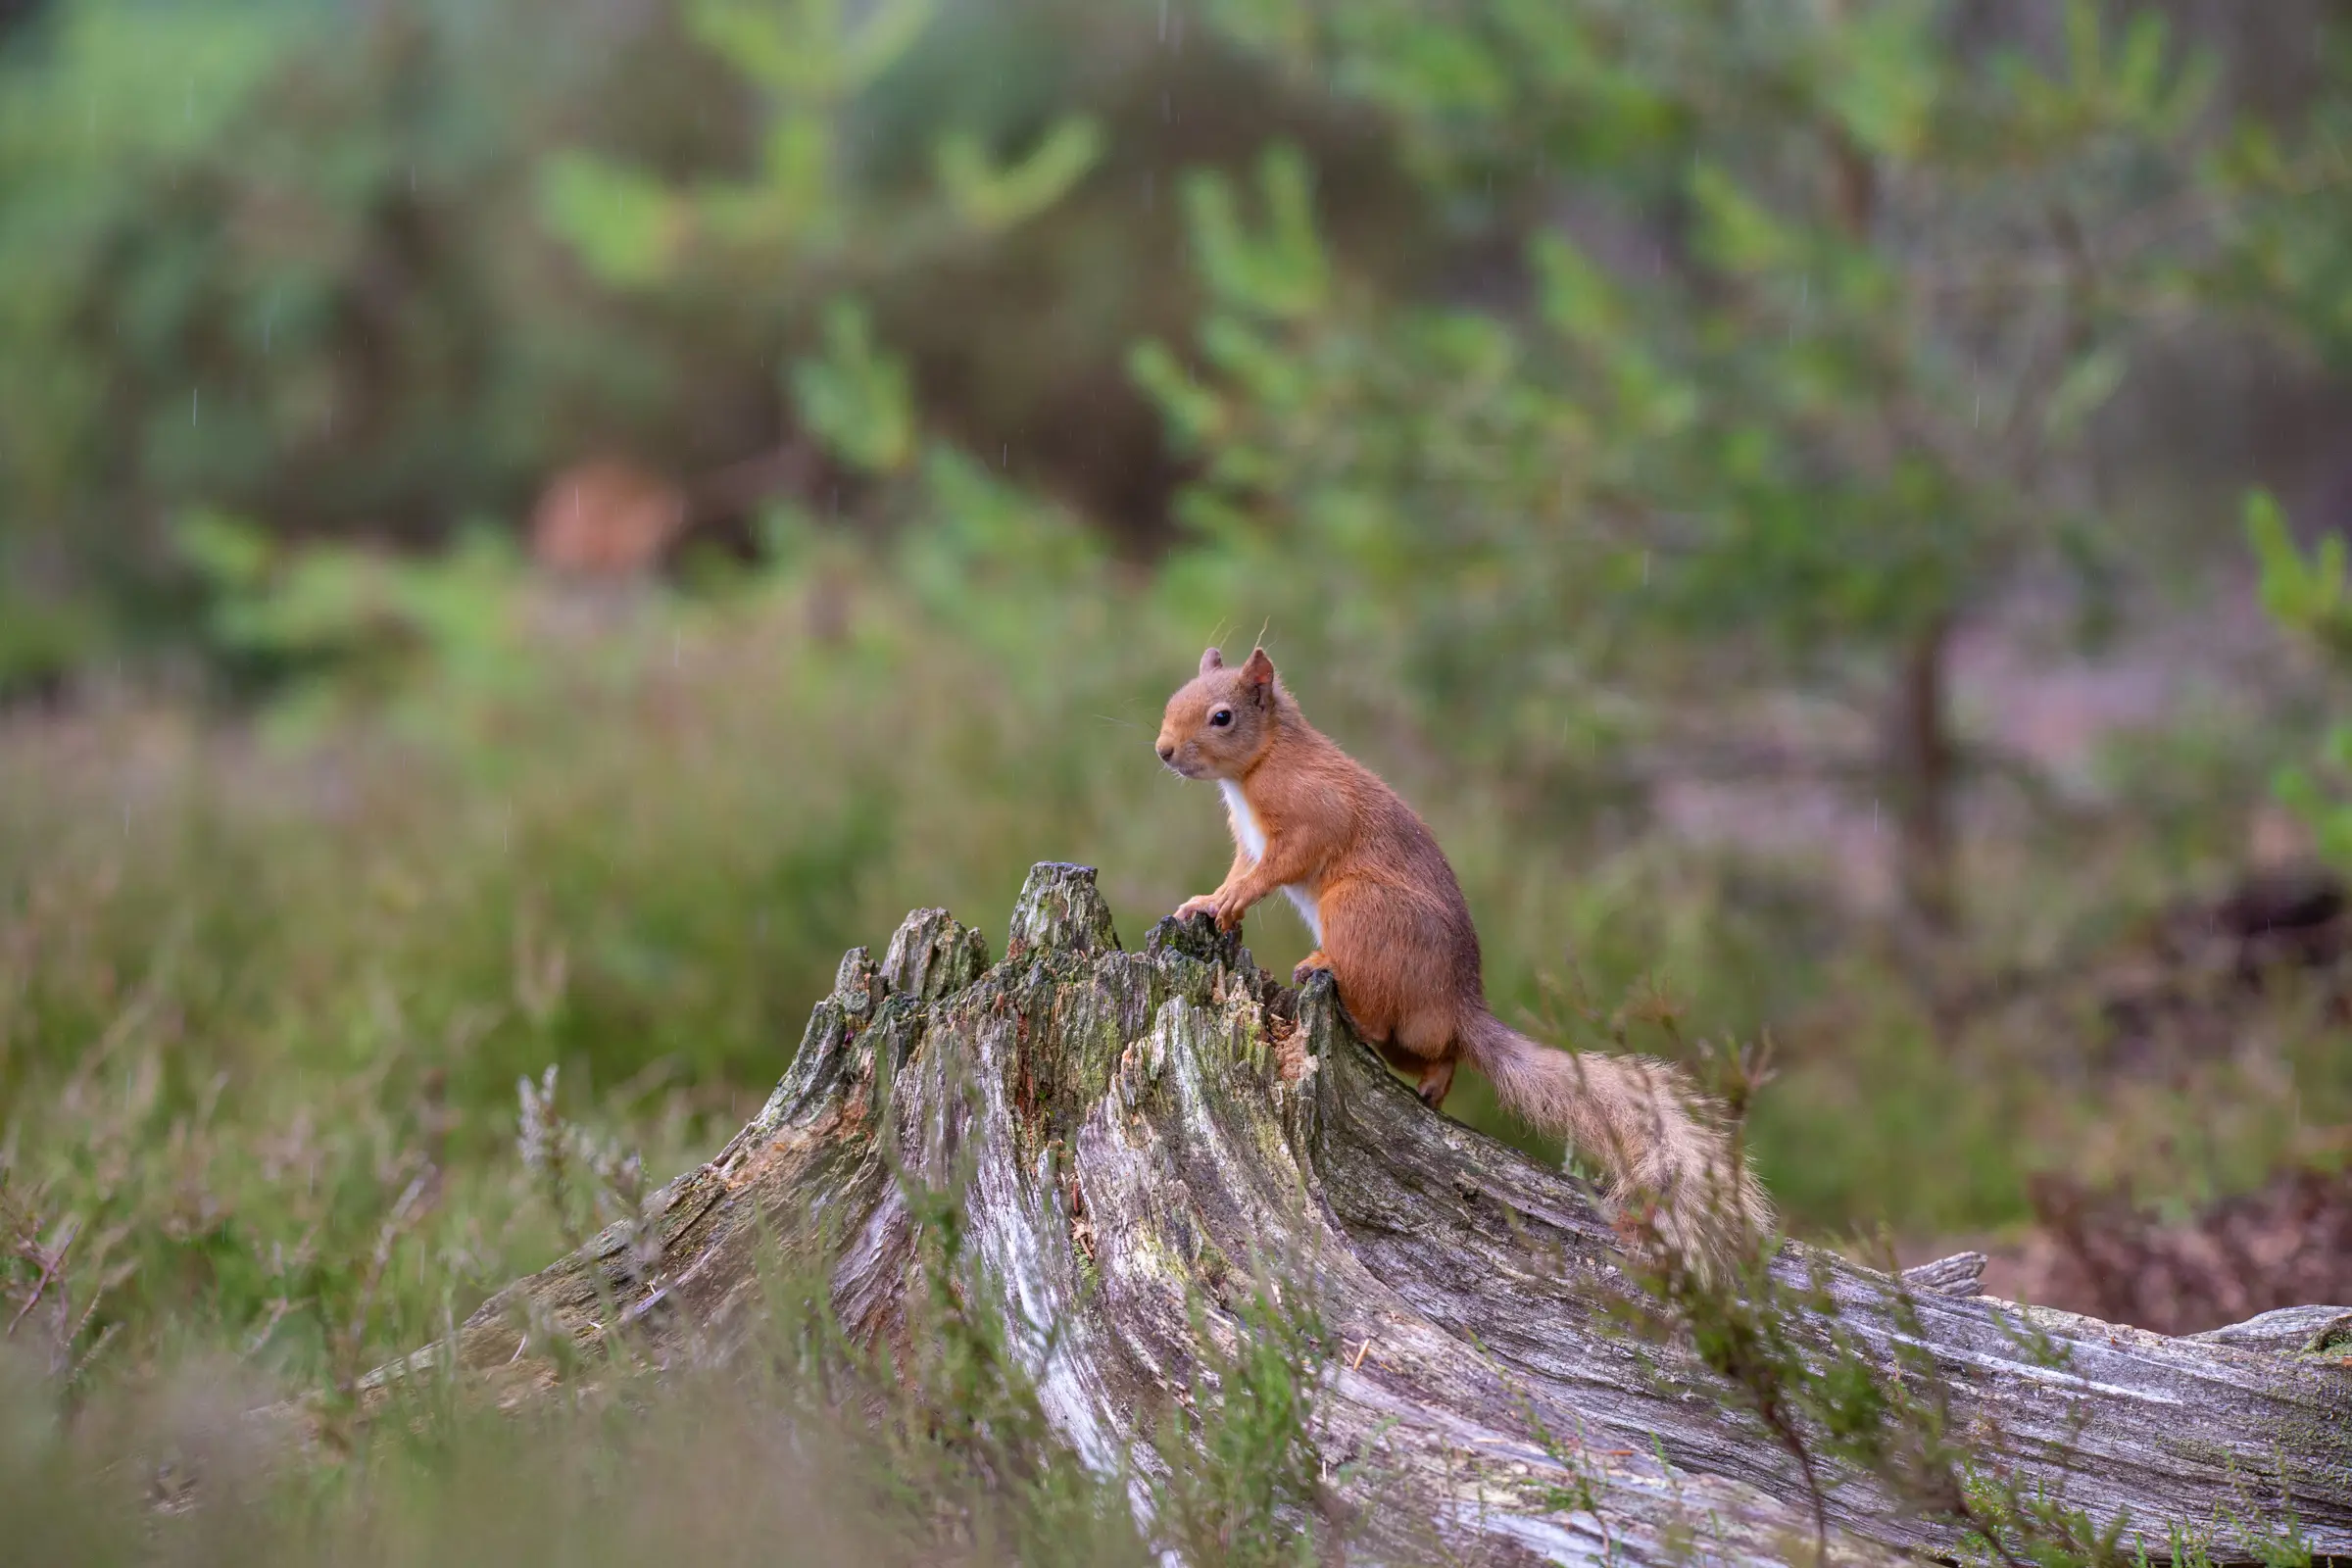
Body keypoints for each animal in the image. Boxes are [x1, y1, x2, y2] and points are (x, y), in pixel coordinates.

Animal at [1156, 644, 1768, 1269]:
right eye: (1173, 700)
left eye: (1222, 717)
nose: (1164, 751)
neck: (1259, 766)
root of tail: (1459, 1004)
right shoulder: (1248, 844)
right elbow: (1239, 872)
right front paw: (1209, 902)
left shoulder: (1311, 813)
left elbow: (1280, 865)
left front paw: (1233, 899)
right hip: (1412, 1030)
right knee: (1436, 1051)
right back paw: (1431, 1082)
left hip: (1359, 909)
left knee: (1379, 1016)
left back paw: (1327, 969)